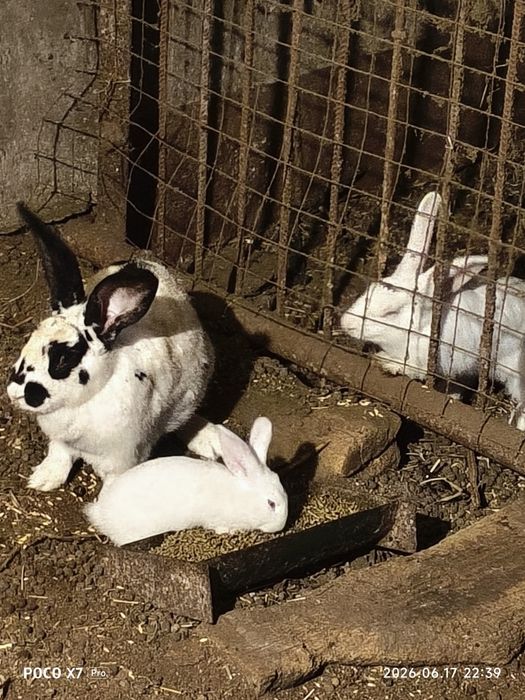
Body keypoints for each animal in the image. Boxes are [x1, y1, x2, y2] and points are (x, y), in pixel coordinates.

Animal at [6, 203, 214, 491]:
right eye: (29, 340)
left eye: (64, 358)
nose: (14, 392)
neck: (85, 400)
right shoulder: (60, 442)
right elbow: (59, 456)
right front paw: (43, 479)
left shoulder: (123, 460)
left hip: (191, 392)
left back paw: (211, 440)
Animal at [341, 191, 525, 430]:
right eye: (370, 290)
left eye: (391, 313)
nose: (346, 323)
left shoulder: (426, 361)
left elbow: (411, 369)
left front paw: (385, 362)